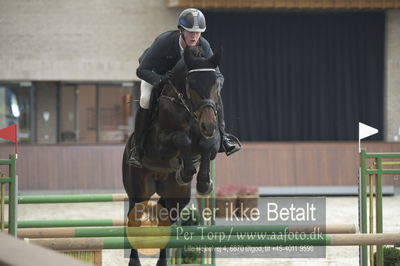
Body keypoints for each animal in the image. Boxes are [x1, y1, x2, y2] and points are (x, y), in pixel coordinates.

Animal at [122, 46, 222, 266]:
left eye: (216, 83)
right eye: (191, 85)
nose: (208, 125)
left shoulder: (213, 140)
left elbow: (207, 145)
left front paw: (203, 182)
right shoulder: (160, 143)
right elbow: (182, 140)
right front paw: (185, 170)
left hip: (176, 196)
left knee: (166, 216)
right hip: (138, 189)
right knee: (134, 218)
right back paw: (134, 262)